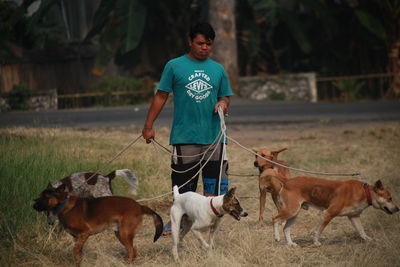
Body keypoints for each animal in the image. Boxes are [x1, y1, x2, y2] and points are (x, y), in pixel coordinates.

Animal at [32, 184, 163, 266]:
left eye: (45, 197)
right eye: (40, 195)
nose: (33, 205)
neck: (63, 205)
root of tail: (140, 206)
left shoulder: (84, 233)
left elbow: (74, 250)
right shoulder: (77, 238)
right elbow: (78, 255)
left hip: (124, 234)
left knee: (131, 251)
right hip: (120, 234)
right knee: (134, 251)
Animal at [262, 172, 400, 247]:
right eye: (390, 198)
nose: (398, 209)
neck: (365, 192)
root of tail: (287, 181)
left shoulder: (354, 216)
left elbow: (361, 231)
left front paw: (369, 240)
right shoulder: (328, 214)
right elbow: (318, 231)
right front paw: (316, 242)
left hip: (294, 214)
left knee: (286, 228)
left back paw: (290, 244)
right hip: (291, 210)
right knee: (275, 219)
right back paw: (277, 237)